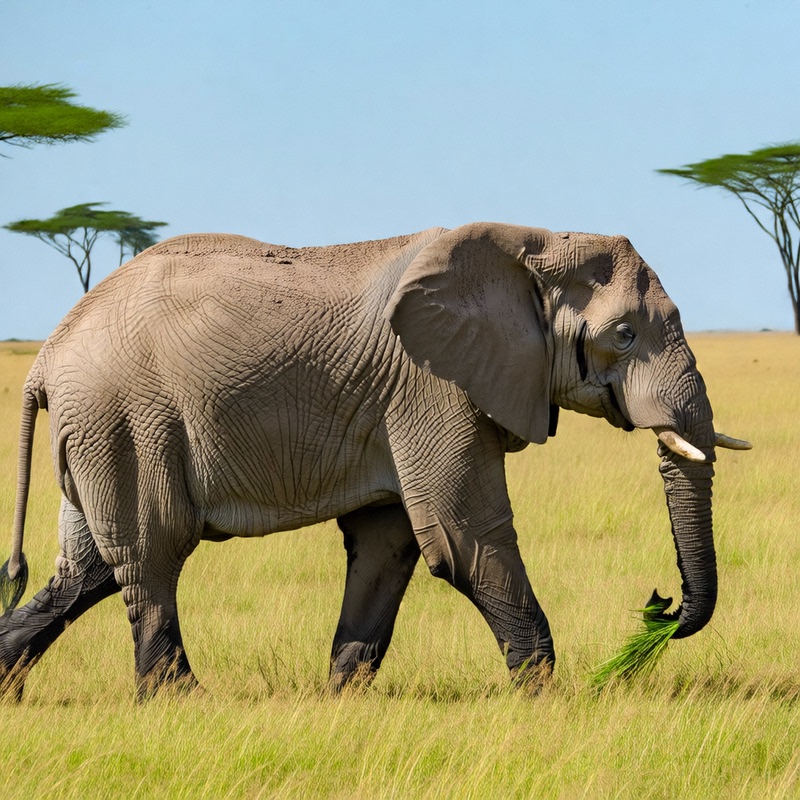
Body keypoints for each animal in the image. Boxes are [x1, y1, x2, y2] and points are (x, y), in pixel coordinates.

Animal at [0, 222, 750, 699]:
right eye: (623, 335)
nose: (660, 606)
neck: (532, 243)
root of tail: (46, 355)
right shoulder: (431, 386)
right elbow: (462, 540)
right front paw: (543, 697)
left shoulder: (406, 401)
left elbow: (388, 546)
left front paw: (343, 697)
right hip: (126, 420)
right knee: (151, 553)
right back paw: (182, 703)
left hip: (99, 428)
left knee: (87, 571)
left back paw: (10, 689)